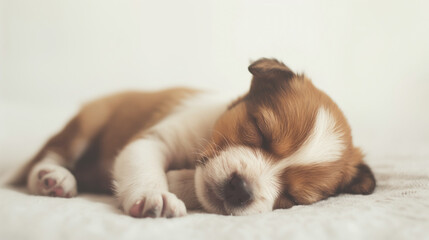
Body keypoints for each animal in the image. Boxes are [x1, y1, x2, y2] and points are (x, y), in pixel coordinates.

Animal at [13, 58, 374, 218]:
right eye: (258, 129)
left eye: (294, 197)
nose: (241, 189)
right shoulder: (152, 140)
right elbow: (147, 170)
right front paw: (154, 195)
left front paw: (178, 182)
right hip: (88, 124)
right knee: (48, 156)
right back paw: (52, 178)